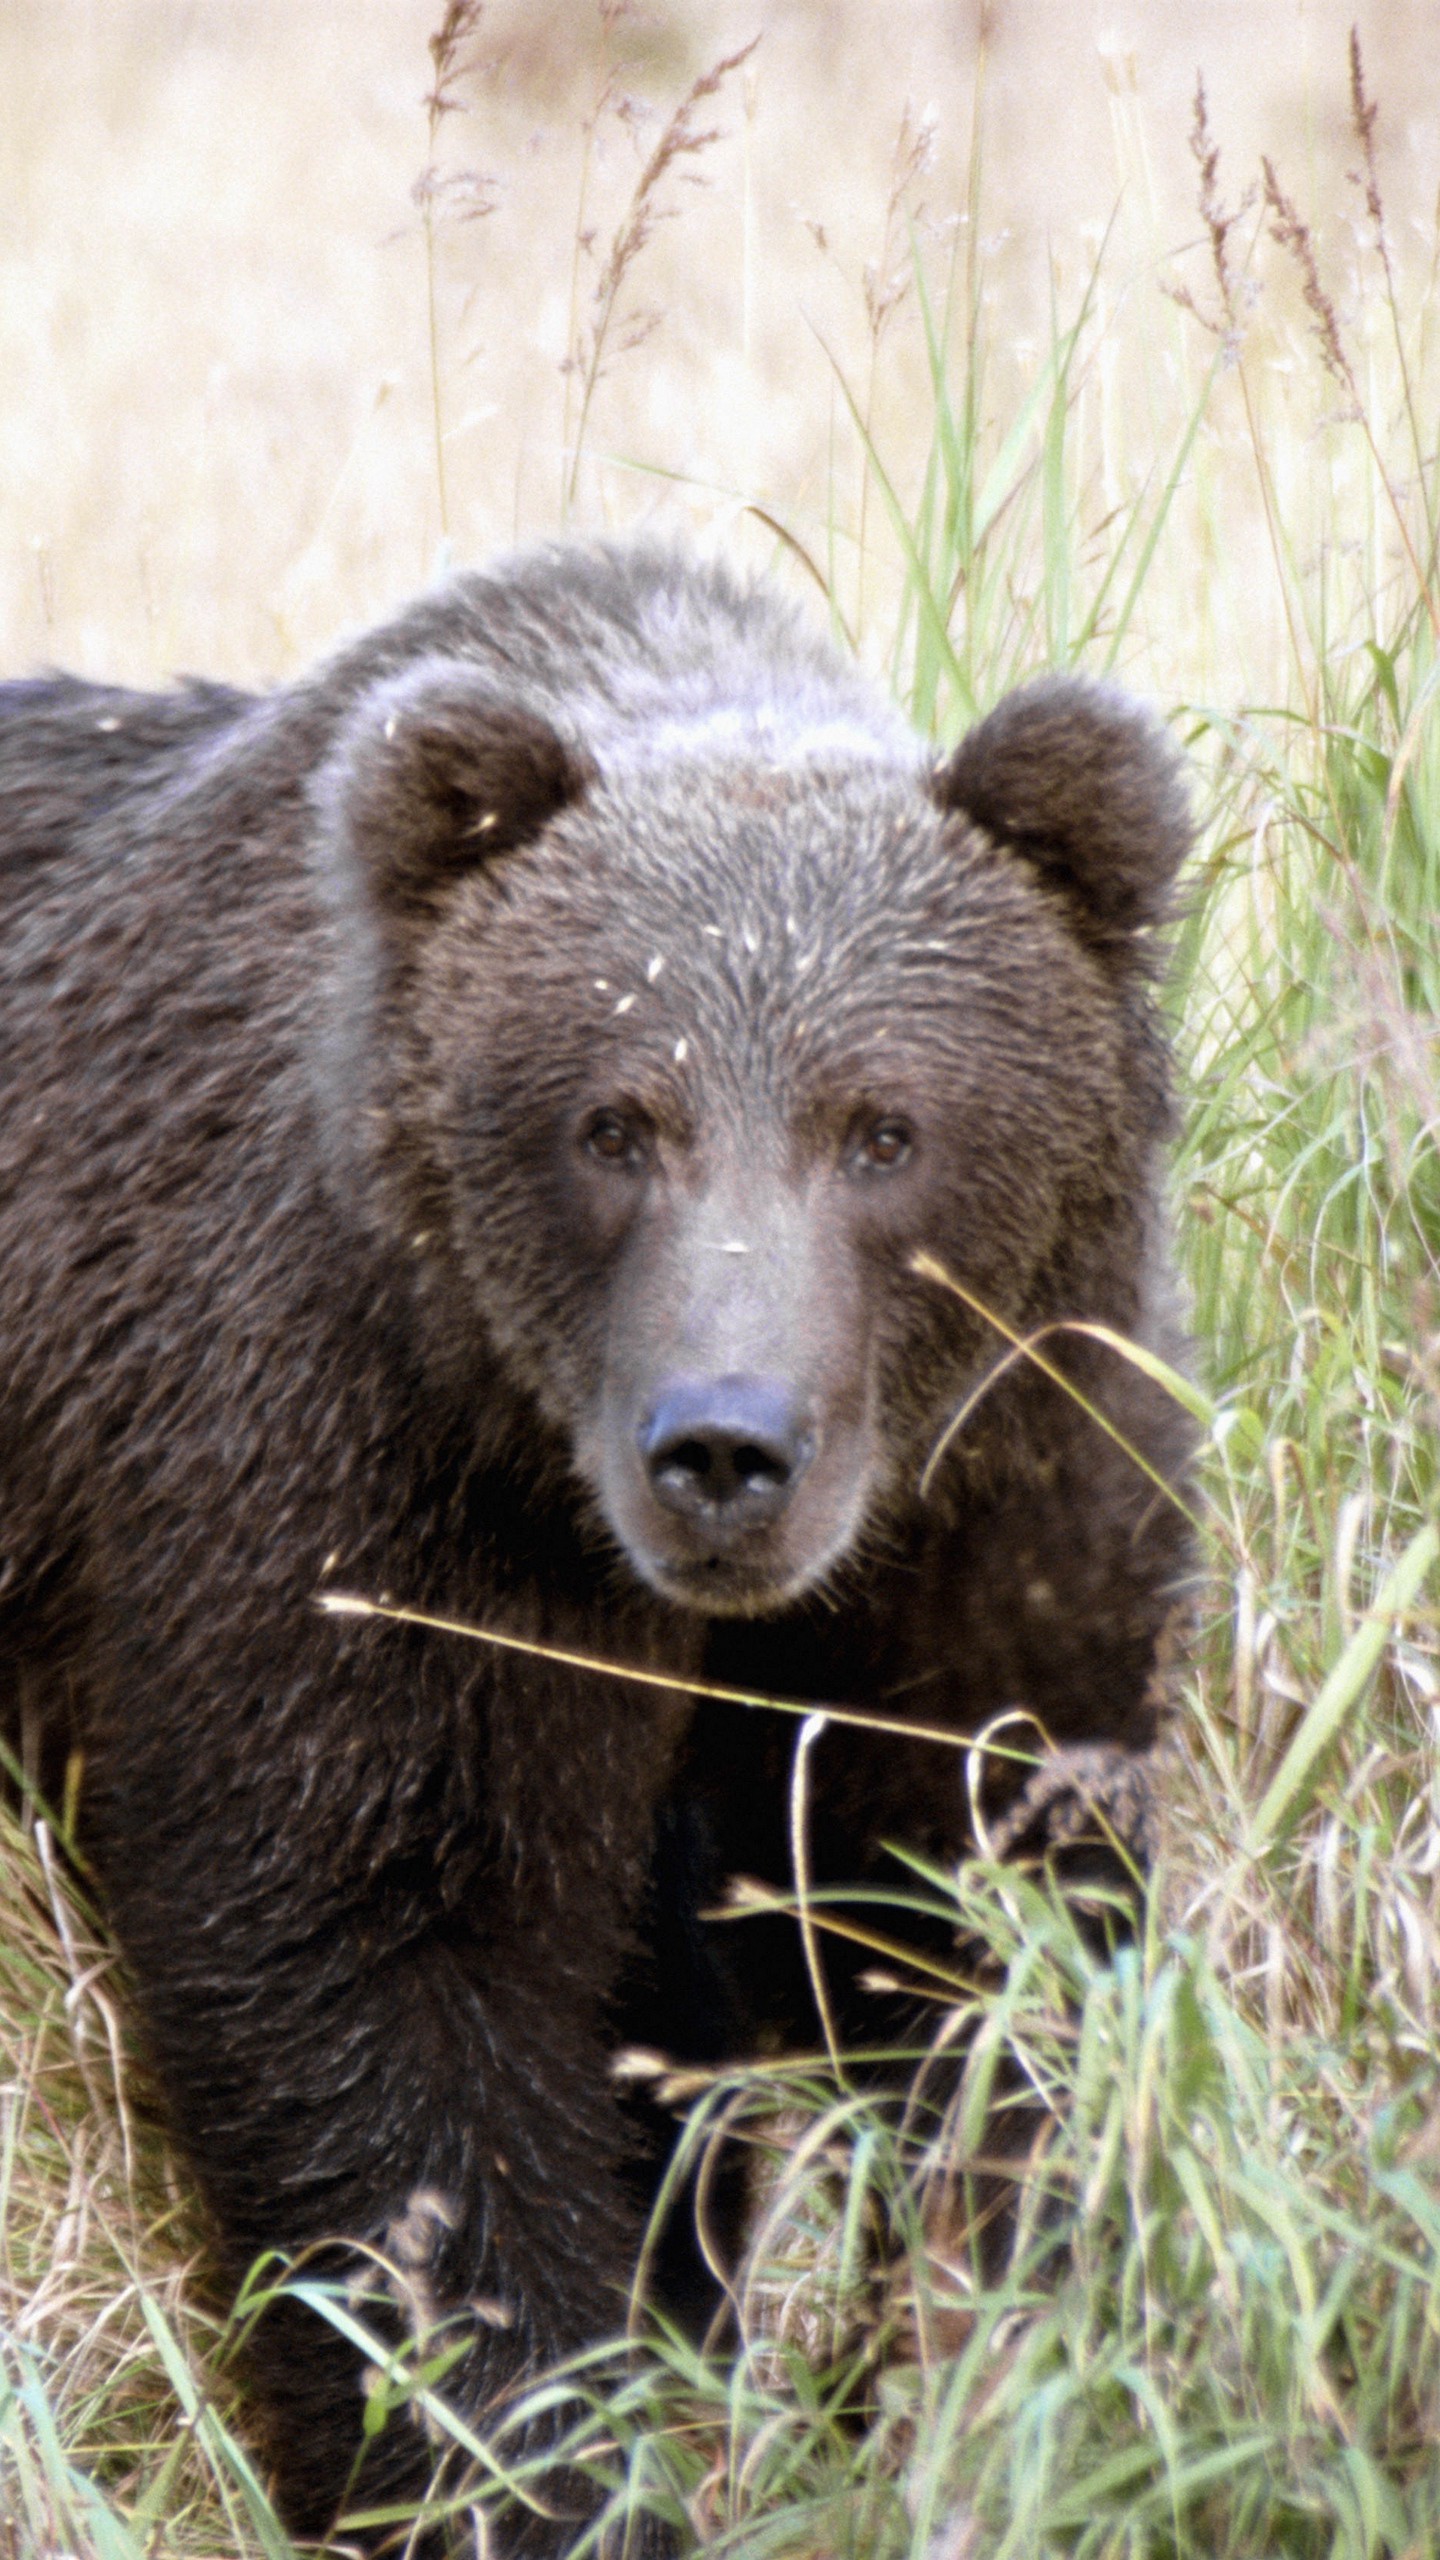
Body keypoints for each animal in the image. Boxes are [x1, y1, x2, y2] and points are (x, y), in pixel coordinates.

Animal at [0, 540, 1188, 2539]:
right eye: (615, 1122)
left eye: (883, 1128)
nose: (725, 1445)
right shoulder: (366, 1479)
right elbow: (394, 1982)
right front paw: (522, 2470)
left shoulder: (996, 1486)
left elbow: (990, 1925)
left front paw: (980, 2378)